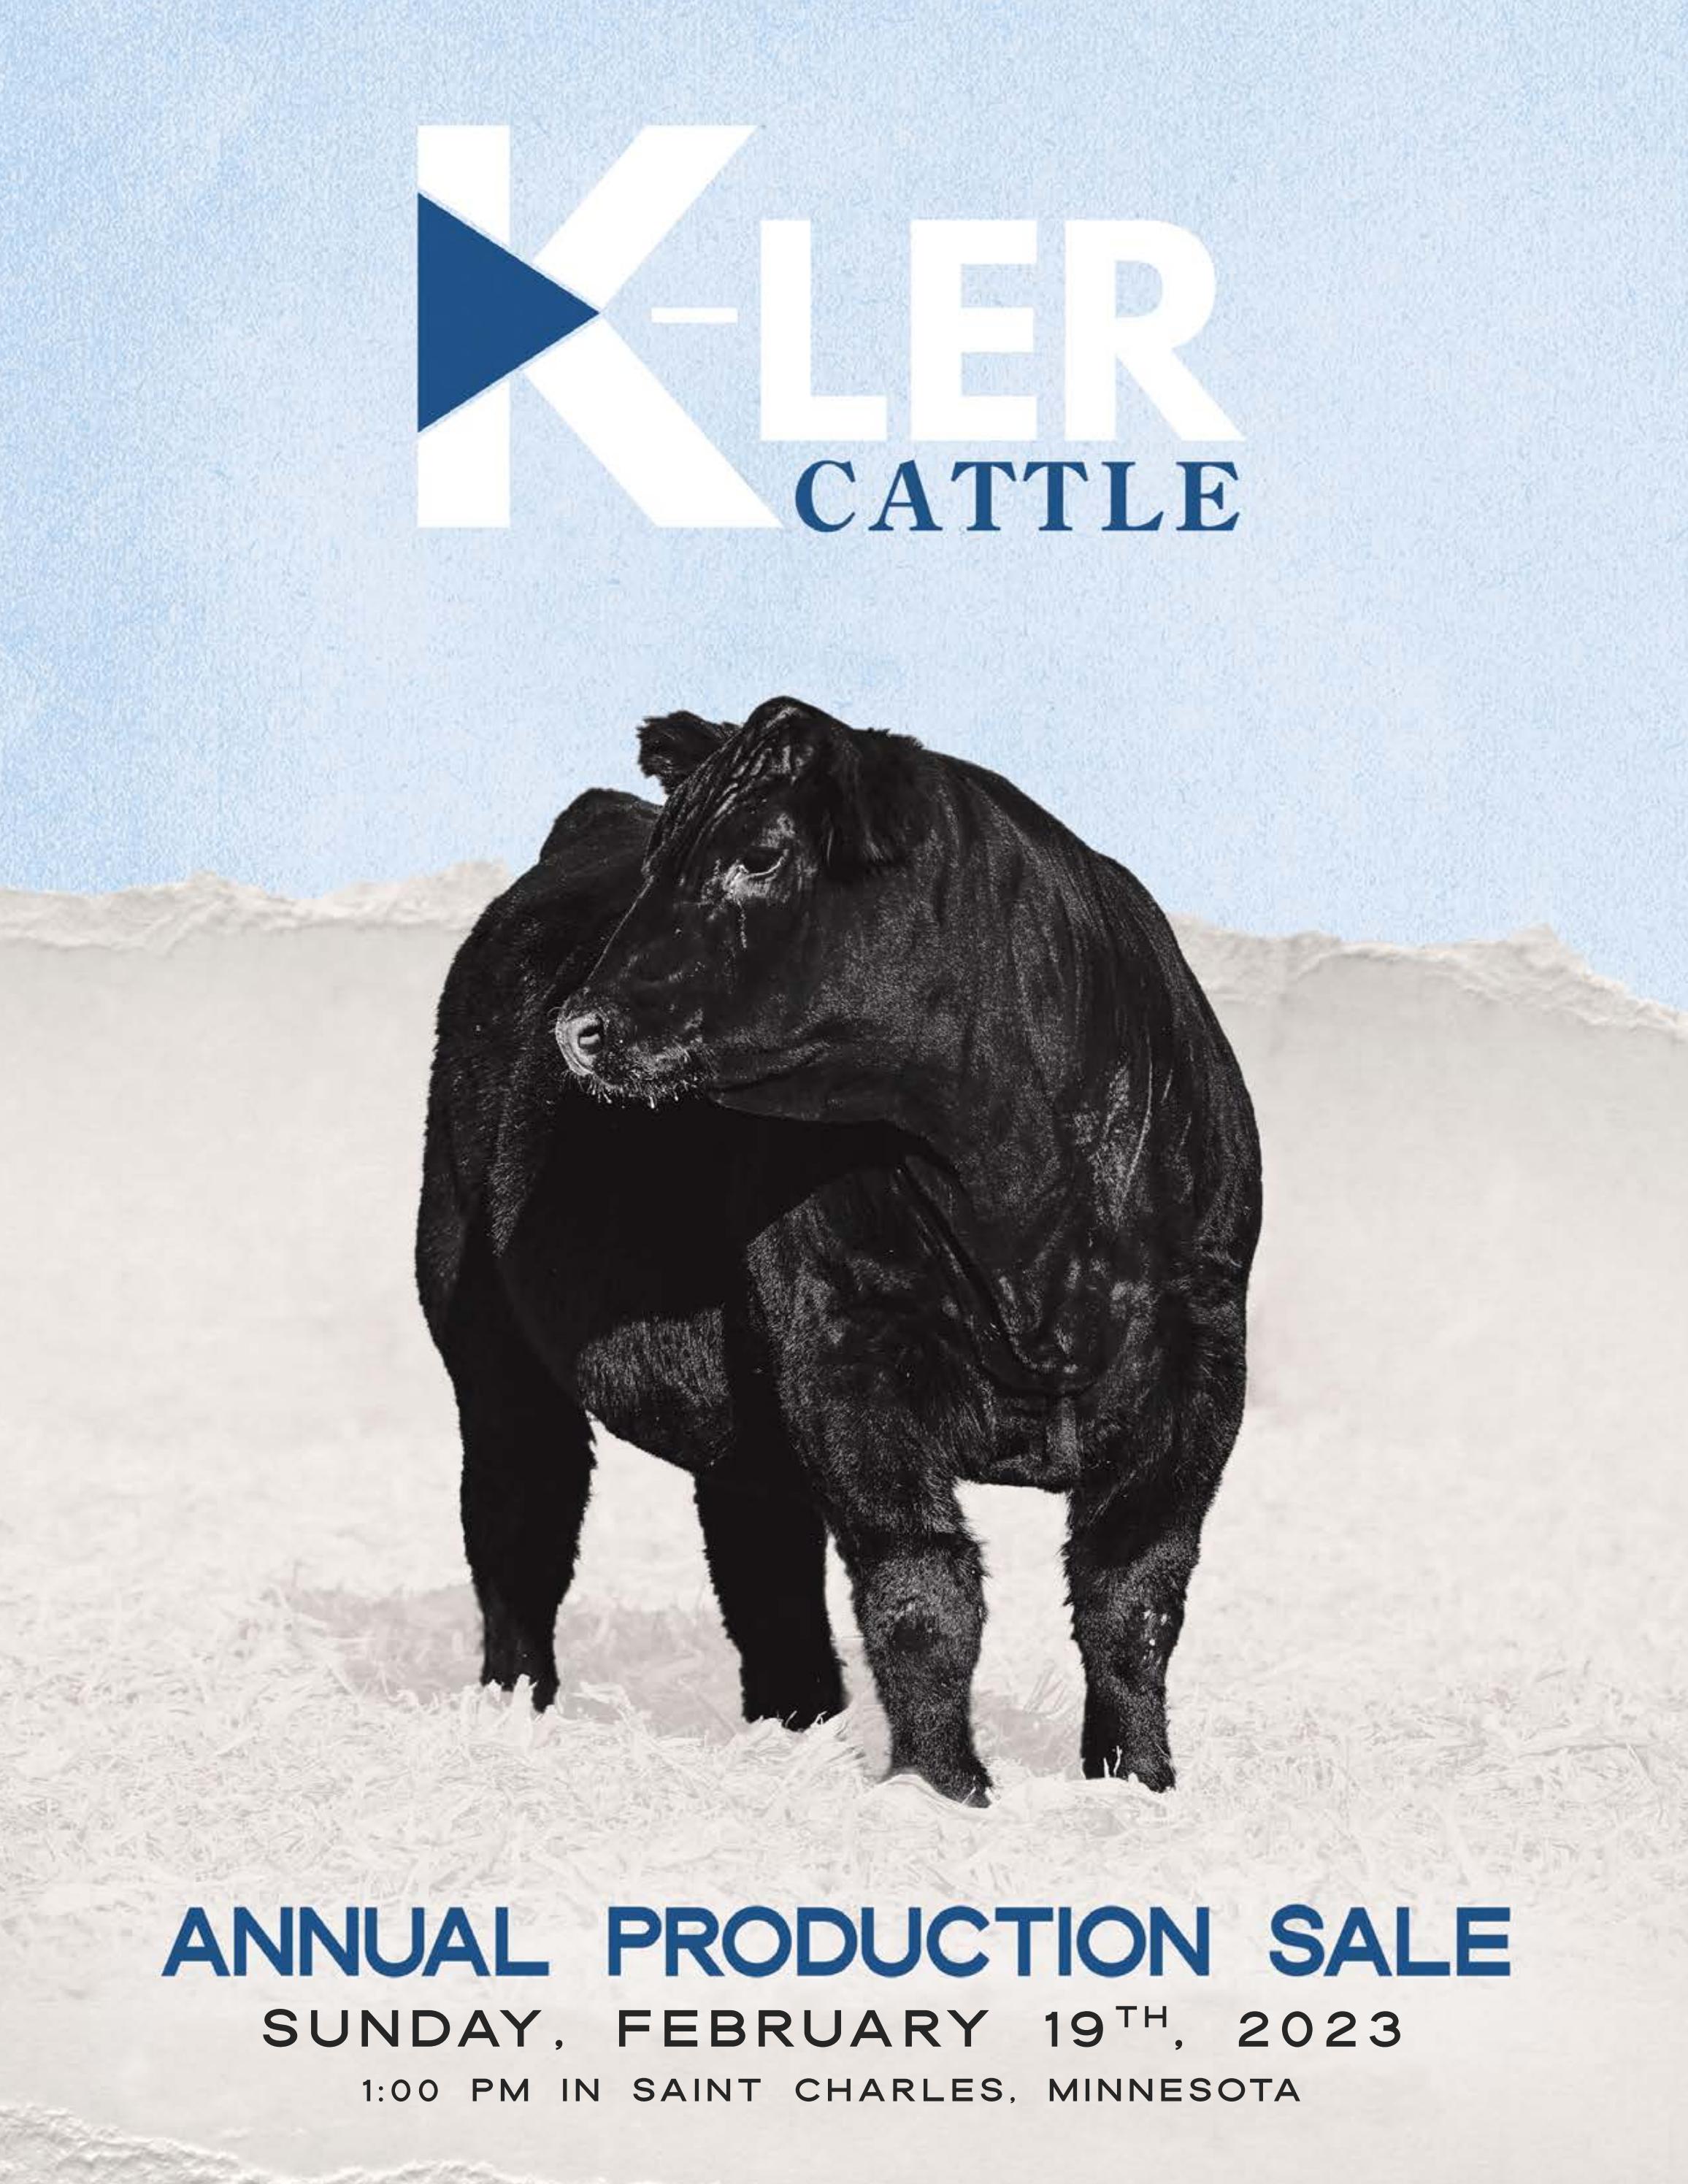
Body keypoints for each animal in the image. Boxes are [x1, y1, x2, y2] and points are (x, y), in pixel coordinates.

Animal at [417, 696, 1261, 1805]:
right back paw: (518, 1713)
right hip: (483, 1330)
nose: (582, 1028)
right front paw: (943, 1791)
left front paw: (1138, 1783)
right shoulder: (840, 1345)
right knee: (521, 1513)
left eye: (760, 856)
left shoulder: (1199, 1349)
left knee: (756, 1549)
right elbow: (923, 1591)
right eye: (661, 860)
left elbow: (1133, 1590)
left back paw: (796, 1724)